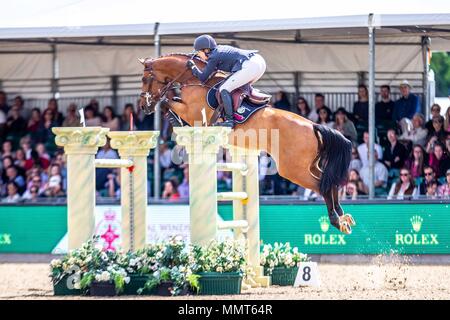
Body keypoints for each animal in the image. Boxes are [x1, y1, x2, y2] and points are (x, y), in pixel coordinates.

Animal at [139, 53, 356, 234]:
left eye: (143, 79)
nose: (143, 106)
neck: (193, 80)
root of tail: (313, 125)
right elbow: (170, 100)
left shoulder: (192, 112)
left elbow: (167, 102)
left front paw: (175, 120)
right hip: (308, 165)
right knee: (329, 180)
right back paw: (343, 217)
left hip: (292, 169)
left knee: (322, 185)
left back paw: (335, 220)